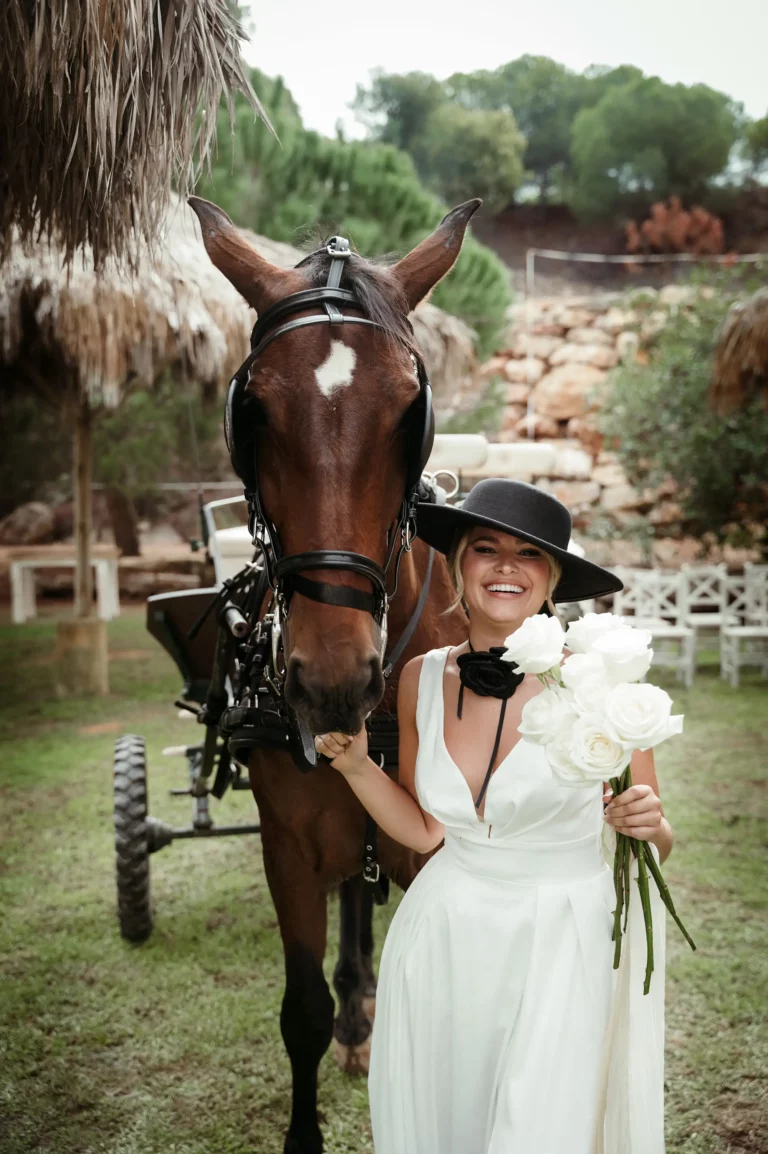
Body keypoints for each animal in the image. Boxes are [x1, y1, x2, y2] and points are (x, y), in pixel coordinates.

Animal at [189, 196, 477, 1154]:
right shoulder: (287, 845)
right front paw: (337, 1025)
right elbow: (303, 1010)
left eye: (410, 411)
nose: (332, 682)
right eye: (253, 411)